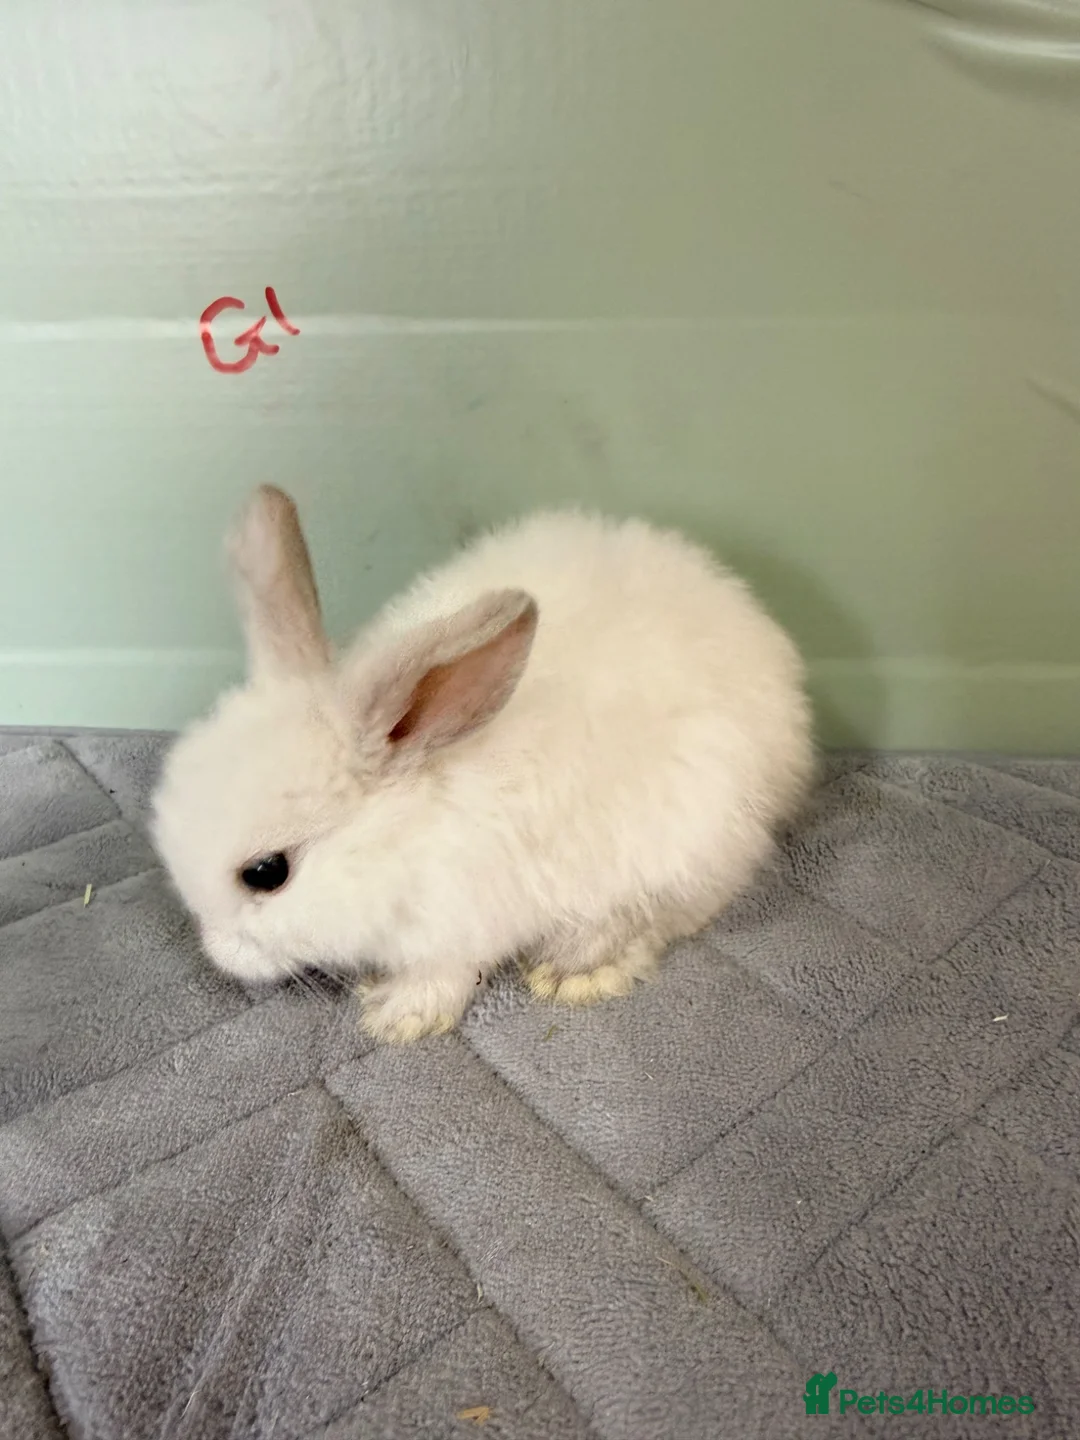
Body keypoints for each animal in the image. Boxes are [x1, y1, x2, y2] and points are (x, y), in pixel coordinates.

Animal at [150, 485, 816, 1043]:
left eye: (266, 873)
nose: (218, 954)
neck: (407, 830)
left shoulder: (459, 925)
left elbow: (443, 974)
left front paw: (397, 1018)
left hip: (690, 834)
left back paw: (576, 970)